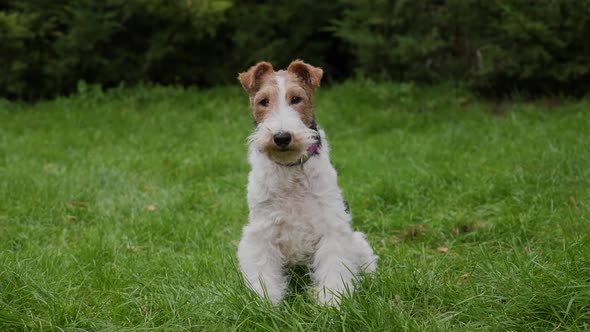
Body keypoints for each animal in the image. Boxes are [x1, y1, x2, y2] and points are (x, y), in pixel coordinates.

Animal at [237, 60, 380, 306]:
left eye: (296, 98)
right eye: (263, 101)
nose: (282, 137)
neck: (291, 168)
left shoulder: (331, 226)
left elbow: (334, 268)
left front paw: (332, 301)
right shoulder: (261, 233)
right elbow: (264, 272)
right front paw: (265, 302)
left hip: (357, 241)